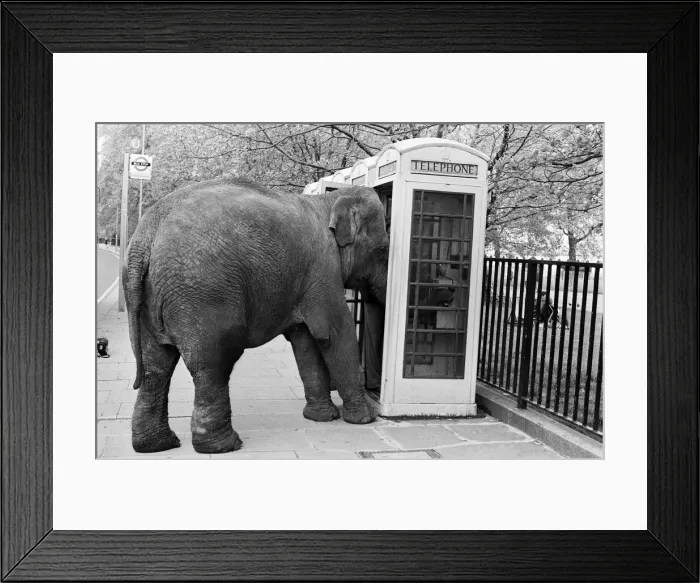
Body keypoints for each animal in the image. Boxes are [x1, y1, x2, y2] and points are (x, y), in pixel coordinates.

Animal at [122, 177, 389, 454]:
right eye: (383, 250)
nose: (375, 392)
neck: (327, 201)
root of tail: (143, 238)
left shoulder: (305, 279)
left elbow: (305, 341)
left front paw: (322, 418)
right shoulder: (323, 268)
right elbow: (334, 332)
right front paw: (364, 419)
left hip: (148, 298)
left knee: (155, 365)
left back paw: (157, 445)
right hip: (203, 295)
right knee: (213, 363)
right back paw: (224, 446)